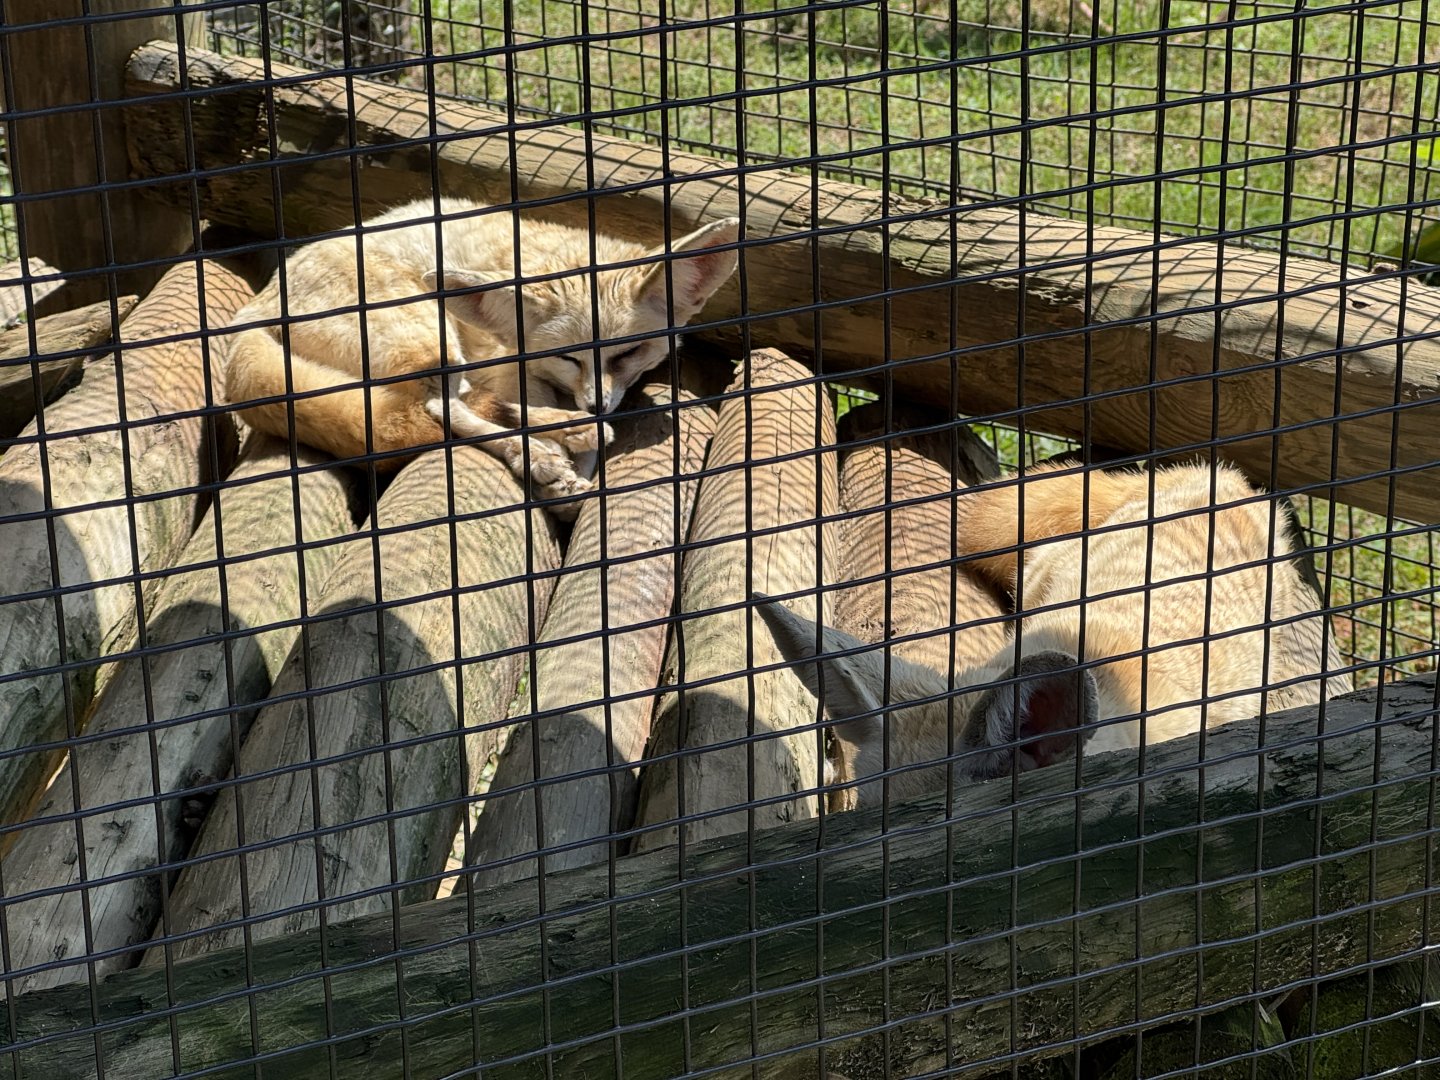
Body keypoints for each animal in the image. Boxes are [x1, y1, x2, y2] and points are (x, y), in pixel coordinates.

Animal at [221, 197, 740, 511]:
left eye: (628, 353)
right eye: (570, 357)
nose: (595, 406)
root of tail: (255, 305)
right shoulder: (509, 364)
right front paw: (558, 459)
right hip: (436, 339)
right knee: (440, 409)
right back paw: (547, 446)